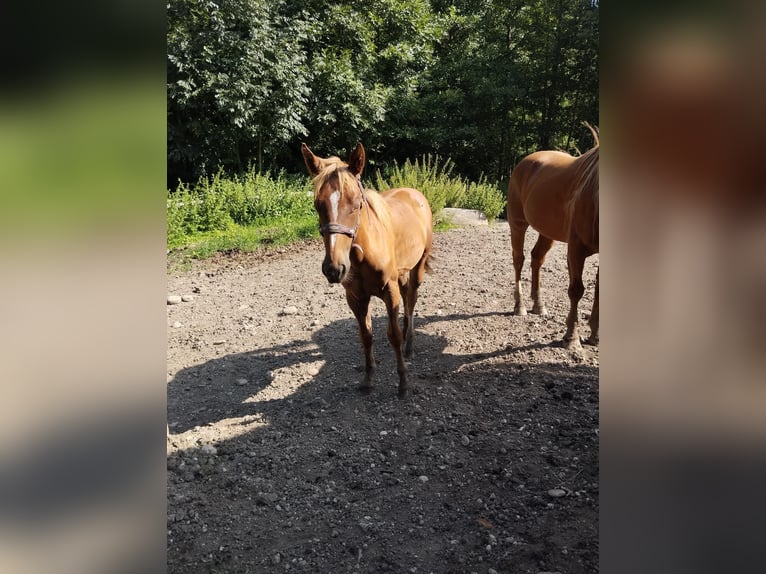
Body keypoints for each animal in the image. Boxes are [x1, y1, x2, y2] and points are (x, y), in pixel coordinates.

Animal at [301, 142, 433, 397]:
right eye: (317, 205)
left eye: (356, 204)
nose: (334, 269)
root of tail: (415, 193)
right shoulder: (355, 297)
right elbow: (365, 336)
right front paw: (368, 378)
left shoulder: (389, 291)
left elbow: (393, 335)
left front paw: (403, 382)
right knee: (407, 297)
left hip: (418, 267)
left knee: (411, 299)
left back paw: (410, 343)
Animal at [506, 126, 599, 349]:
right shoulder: (575, 249)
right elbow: (576, 290)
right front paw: (572, 337)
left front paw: (595, 335)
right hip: (517, 224)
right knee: (519, 260)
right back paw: (520, 306)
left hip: (547, 232)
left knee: (536, 258)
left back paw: (538, 304)